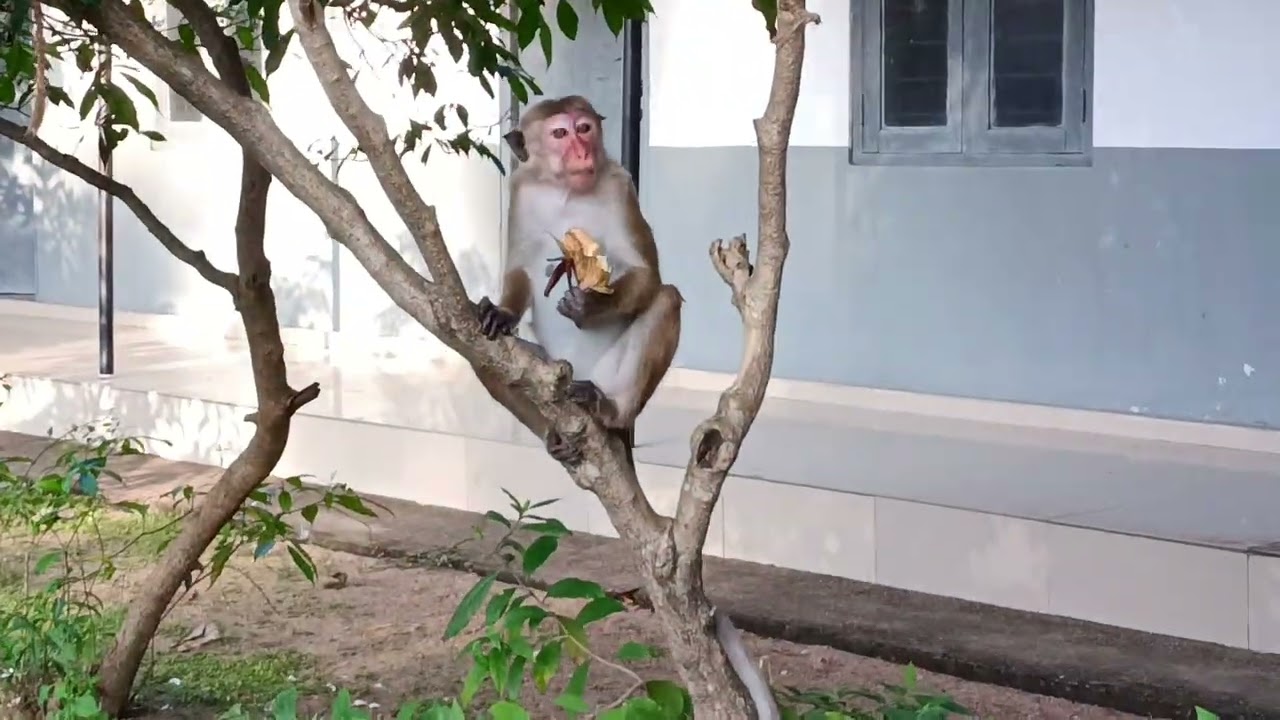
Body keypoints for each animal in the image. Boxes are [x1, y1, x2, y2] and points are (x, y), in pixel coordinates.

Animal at [475, 95, 683, 467]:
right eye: (560, 133)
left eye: (584, 128)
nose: (583, 152)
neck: (565, 191)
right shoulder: (522, 189)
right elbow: (518, 267)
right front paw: (502, 313)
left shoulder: (620, 186)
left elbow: (647, 274)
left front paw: (588, 306)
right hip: (547, 365)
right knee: (484, 357)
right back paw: (553, 435)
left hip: (606, 374)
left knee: (667, 299)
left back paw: (610, 410)